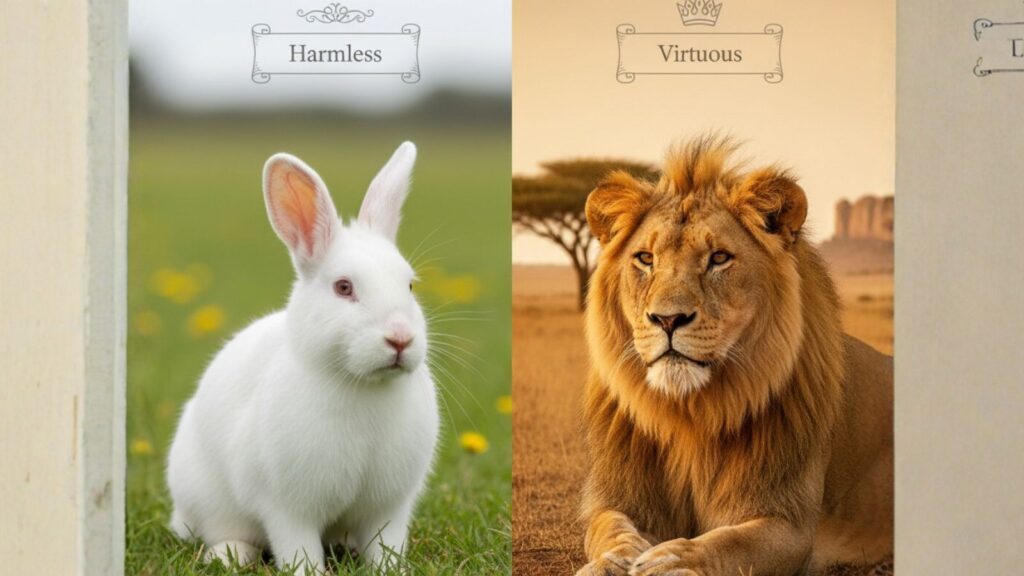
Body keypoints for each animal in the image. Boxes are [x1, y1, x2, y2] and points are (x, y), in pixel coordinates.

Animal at [166, 142, 439, 574]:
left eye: (409, 285)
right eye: (343, 287)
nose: (400, 339)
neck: (361, 386)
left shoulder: (389, 507)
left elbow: (386, 544)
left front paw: (391, 570)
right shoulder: (287, 506)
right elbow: (298, 546)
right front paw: (307, 570)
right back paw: (228, 554)